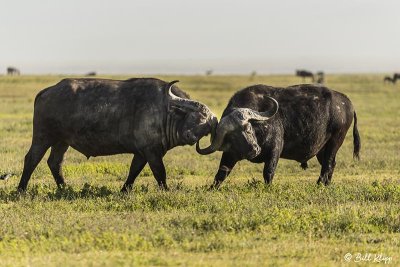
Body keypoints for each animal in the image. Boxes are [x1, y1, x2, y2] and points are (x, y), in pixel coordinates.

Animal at [18, 77, 219, 193]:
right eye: (198, 116)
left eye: (208, 122)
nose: (191, 136)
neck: (166, 110)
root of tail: (46, 92)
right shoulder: (152, 151)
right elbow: (160, 173)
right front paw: (166, 191)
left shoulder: (142, 153)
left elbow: (134, 171)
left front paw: (124, 190)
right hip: (43, 137)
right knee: (31, 159)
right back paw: (21, 189)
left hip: (61, 141)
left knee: (55, 162)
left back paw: (64, 189)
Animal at [198, 85, 360, 187]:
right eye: (232, 137)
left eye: (248, 128)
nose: (254, 150)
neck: (259, 128)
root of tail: (346, 101)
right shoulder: (230, 153)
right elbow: (221, 173)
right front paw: (211, 189)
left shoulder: (275, 150)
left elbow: (268, 172)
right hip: (322, 148)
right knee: (331, 164)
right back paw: (326, 184)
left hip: (335, 141)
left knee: (328, 164)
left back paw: (319, 185)